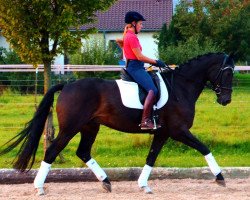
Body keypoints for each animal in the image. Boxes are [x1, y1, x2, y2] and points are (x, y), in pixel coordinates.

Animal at [0, 52, 234, 195]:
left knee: (83, 151)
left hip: (90, 127)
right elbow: (204, 148)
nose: (226, 100)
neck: (181, 87)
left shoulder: (163, 133)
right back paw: (39, 187)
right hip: (70, 128)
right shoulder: (178, 131)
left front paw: (144, 185)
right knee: (52, 151)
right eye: (227, 72)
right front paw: (220, 177)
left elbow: (151, 157)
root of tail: (66, 86)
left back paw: (106, 182)